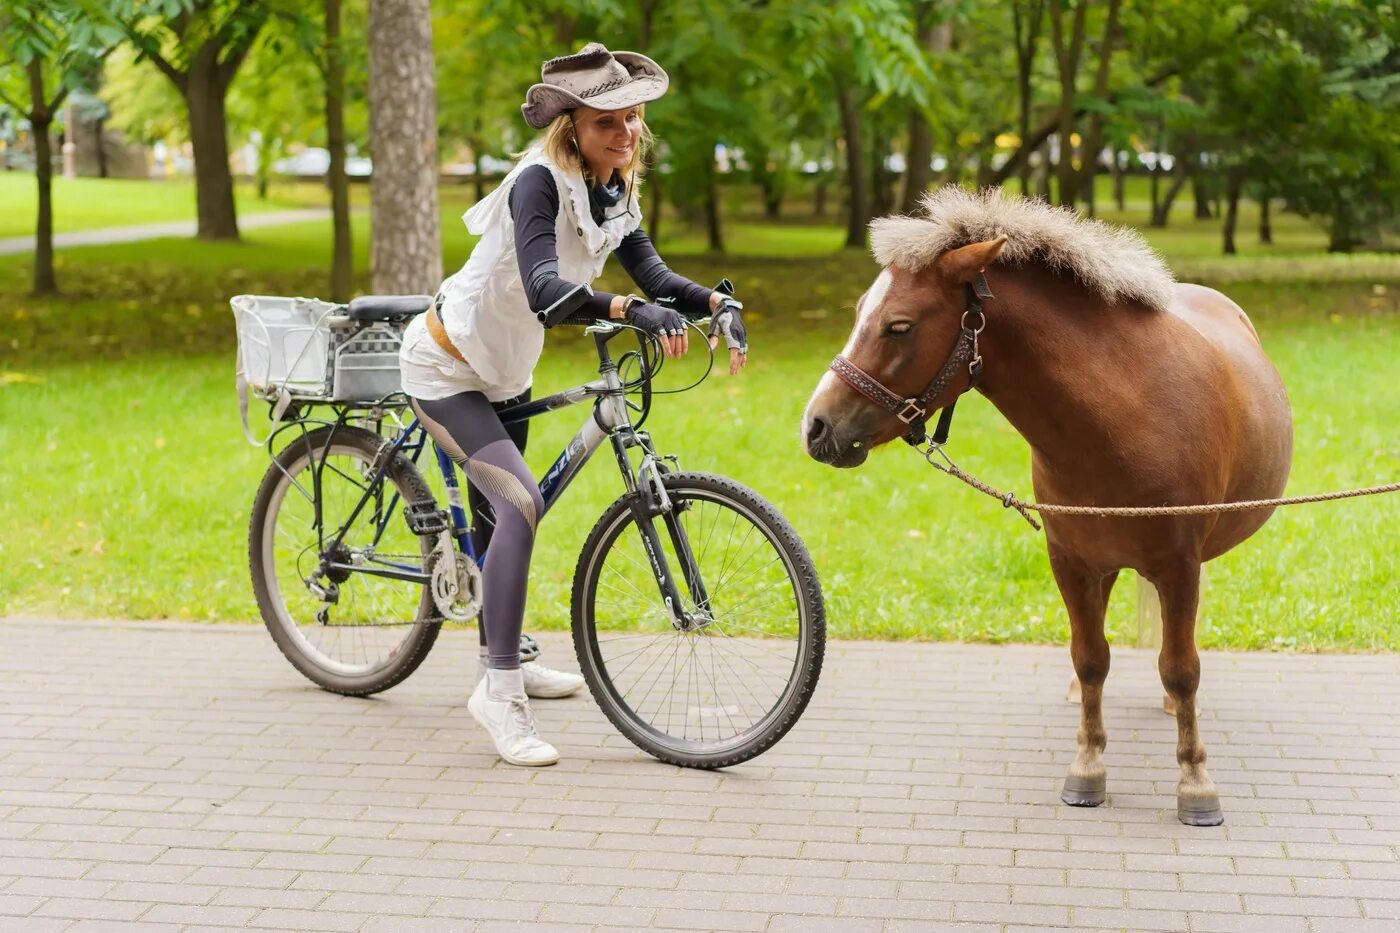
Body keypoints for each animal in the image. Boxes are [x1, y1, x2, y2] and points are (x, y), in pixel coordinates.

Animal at [806, 187, 1293, 823]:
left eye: (898, 326)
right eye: (861, 311)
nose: (817, 428)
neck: (1129, 413)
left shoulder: (1179, 567)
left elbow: (1182, 669)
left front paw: (1195, 782)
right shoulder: (1071, 561)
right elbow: (1090, 659)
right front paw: (1087, 766)